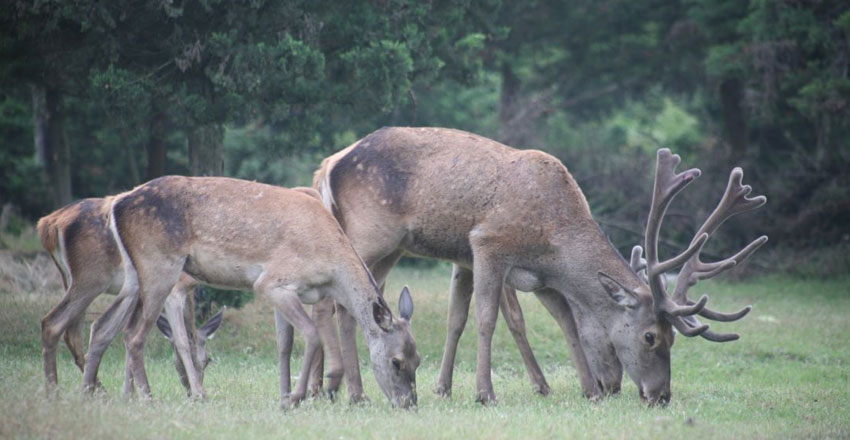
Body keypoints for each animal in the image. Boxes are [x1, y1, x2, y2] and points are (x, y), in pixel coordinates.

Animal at [37, 198, 222, 398]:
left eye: (207, 360)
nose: (190, 388)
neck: (190, 283)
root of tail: (48, 224)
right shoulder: (173, 291)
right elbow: (180, 339)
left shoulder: (136, 294)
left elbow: (123, 336)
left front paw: (129, 394)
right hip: (91, 278)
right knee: (55, 324)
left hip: (70, 279)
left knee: (73, 333)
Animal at [111, 175, 420, 410]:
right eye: (396, 361)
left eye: (418, 360)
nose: (409, 404)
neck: (331, 270)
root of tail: (117, 206)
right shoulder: (273, 282)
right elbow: (311, 334)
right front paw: (295, 398)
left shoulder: (284, 293)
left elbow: (284, 345)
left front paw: (283, 396)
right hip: (160, 266)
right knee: (136, 336)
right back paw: (149, 397)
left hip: (138, 277)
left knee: (125, 330)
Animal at [312, 127, 760, 406]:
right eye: (651, 336)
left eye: (673, 337)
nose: (660, 395)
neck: (554, 237)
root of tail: (328, 164)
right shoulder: (488, 244)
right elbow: (487, 318)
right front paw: (484, 393)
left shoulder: (536, 277)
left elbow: (562, 321)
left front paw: (587, 390)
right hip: (368, 234)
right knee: (337, 303)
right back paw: (348, 391)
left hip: (390, 249)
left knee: (350, 303)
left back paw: (326, 390)